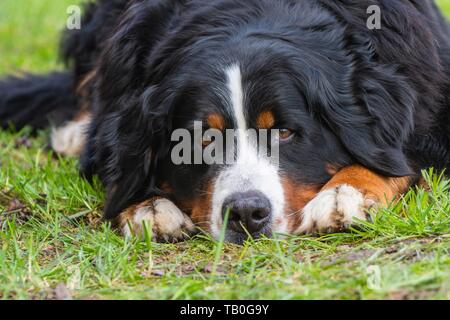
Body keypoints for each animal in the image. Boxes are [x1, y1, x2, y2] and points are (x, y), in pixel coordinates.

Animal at [0, 0, 450, 244]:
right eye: (200, 140)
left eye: (285, 132)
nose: (247, 213)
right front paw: (149, 208)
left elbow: (399, 159)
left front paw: (344, 195)